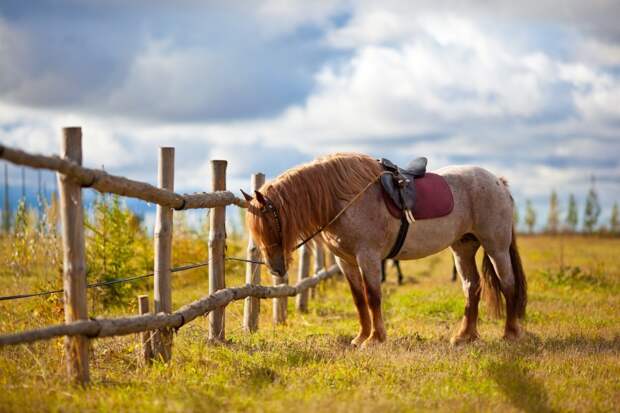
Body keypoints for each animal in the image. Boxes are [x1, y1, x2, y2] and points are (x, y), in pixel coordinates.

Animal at [242, 153, 528, 346]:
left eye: (271, 222)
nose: (275, 268)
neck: (346, 197)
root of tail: (498, 182)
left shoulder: (367, 256)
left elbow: (373, 296)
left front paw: (375, 339)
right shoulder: (346, 260)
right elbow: (359, 299)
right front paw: (360, 337)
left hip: (496, 247)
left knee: (508, 284)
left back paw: (510, 333)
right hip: (463, 248)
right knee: (472, 287)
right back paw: (464, 336)